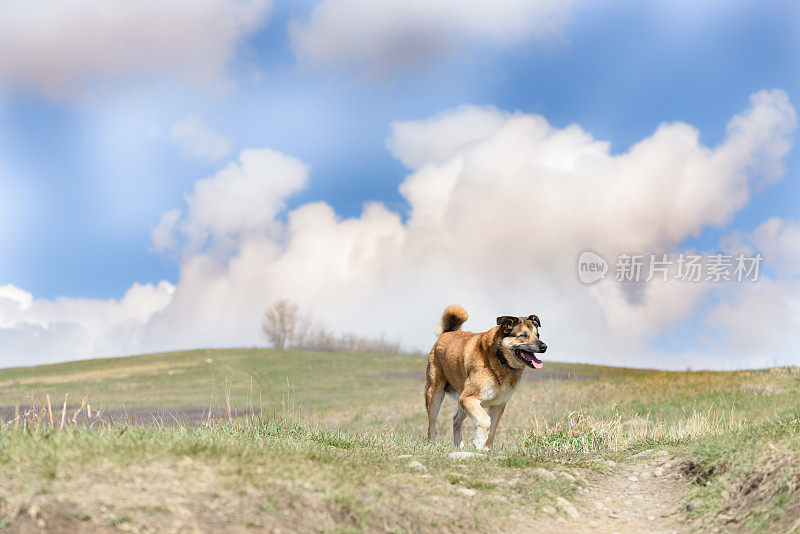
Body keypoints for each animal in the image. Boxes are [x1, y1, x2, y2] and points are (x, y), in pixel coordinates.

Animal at [424, 308, 544, 454]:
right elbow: (486, 420)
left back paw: (459, 445)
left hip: (461, 402)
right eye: (523, 335)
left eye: (538, 335)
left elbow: (493, 428)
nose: (544, 346)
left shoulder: (498, 405)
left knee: (455, 420)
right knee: (432, 422)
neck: (499, 359)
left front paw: (486, 450)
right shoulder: (469, 398)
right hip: (435, 394)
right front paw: (479, 442)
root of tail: (446, 333)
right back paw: (432, 444)